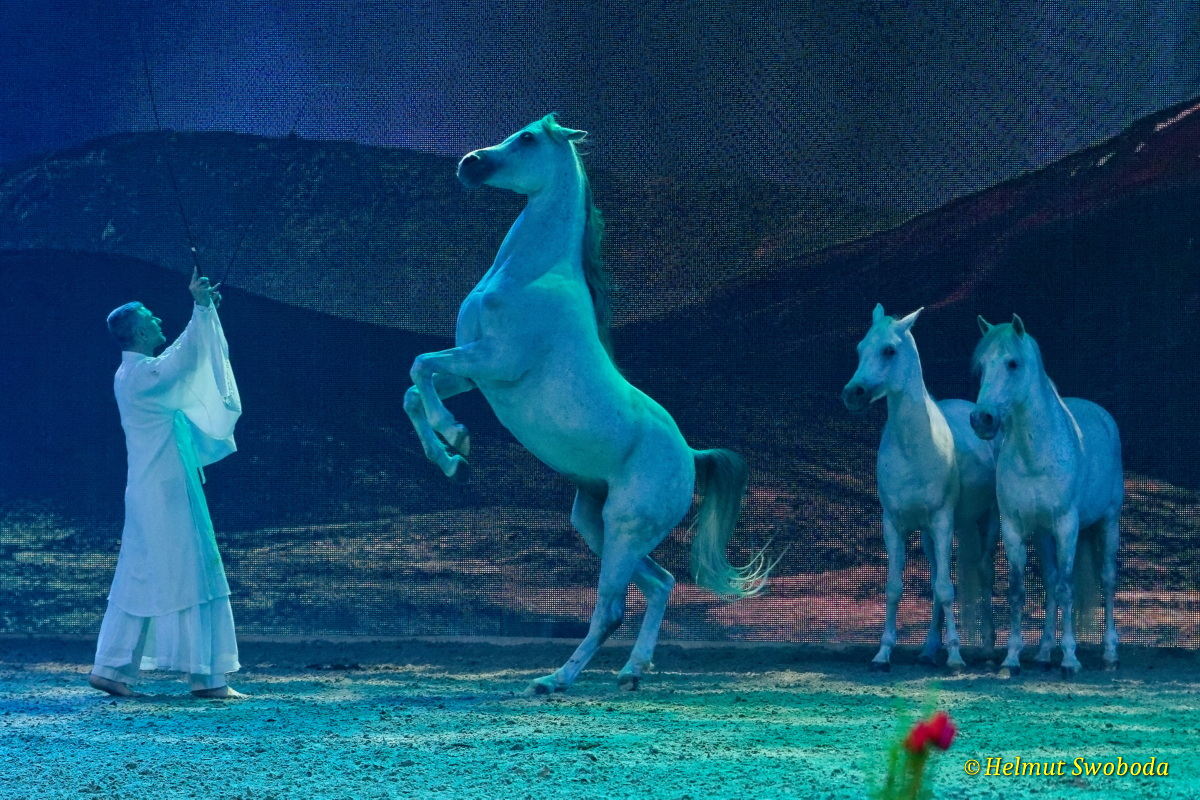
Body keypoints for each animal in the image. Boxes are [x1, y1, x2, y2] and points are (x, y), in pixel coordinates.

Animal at [404, 114, 770, 693]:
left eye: (528, 138)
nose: (469, 163)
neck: (530, 276)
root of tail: (692, 457)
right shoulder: (475, 375)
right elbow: (413, 389)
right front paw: (448, 459)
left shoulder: (495, 362)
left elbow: (419, 367)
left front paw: (457, 436)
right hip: (598, 527)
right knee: (662, 583)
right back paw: (631, 672)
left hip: (624, 527)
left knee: (611, 609)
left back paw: (555, 680)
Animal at [842, 304, 999, 671]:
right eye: (859, 348)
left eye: (889, 350)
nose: (852, 394)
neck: (914, 448)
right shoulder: (894, 524)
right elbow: (895, 588)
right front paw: (883, 653)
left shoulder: (942, 521)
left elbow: (945, 588)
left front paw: (955, 656)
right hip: (929, 535)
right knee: (935, 579)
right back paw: (928, 649)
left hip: (987, 522)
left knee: (983, 573)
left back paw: (986, 648)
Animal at [970, 315, 1122, 676]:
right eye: (981, 366)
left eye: (1013, 363)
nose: (982, 419)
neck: (1035, 457)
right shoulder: (1014, 528)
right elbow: (1019, 590)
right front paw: (1011, 659)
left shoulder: (1067, 526)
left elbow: (1067, 587)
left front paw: (1070, 659)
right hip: (1044, 536)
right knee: (1051, 581)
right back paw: (1043, 651)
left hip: (1109, 521)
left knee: (1108, 580)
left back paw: (1109, 654)